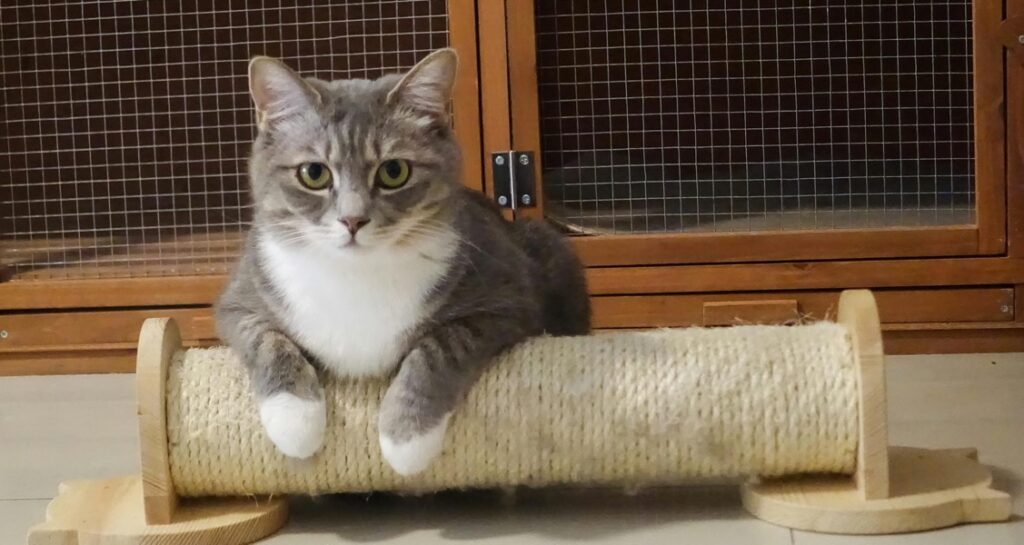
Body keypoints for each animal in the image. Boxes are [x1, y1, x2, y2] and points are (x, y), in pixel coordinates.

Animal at [214, 49, 593, 477]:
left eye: (394, 171)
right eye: (313, 173)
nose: (353, 220)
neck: (356, 277)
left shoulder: (507, 296)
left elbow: (440, 347)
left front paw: (406, 439)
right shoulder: (242, 295)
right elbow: (266, 339)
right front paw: (295, 422)